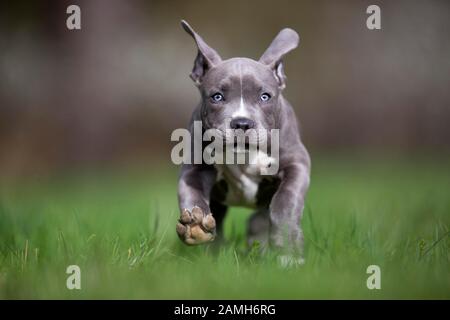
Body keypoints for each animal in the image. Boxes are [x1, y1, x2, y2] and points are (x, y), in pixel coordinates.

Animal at [176, 20, 310, 264]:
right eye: (217, 96)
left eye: (265, 96)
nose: (242, 123)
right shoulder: (194, 169)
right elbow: (192, 195)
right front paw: (195, 225)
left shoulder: (297, 164)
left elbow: (285, 202)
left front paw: (288, 249)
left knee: (259, 220)